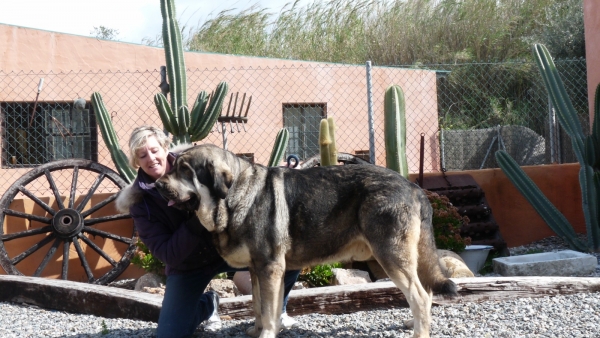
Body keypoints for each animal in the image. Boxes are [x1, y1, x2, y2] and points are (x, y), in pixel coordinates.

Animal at [156, 144, 460, 338]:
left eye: (184, 170)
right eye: (173, 167)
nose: (157, 185)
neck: (234, 196)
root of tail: (413, 186)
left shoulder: (269, 268)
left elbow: (268, 310)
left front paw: (266, 333)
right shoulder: (259, 270)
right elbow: (258, 305)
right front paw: (256, 330)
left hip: (391, 256)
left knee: (420, 295)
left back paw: (419, 333)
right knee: (422, 294)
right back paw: (414, 323)